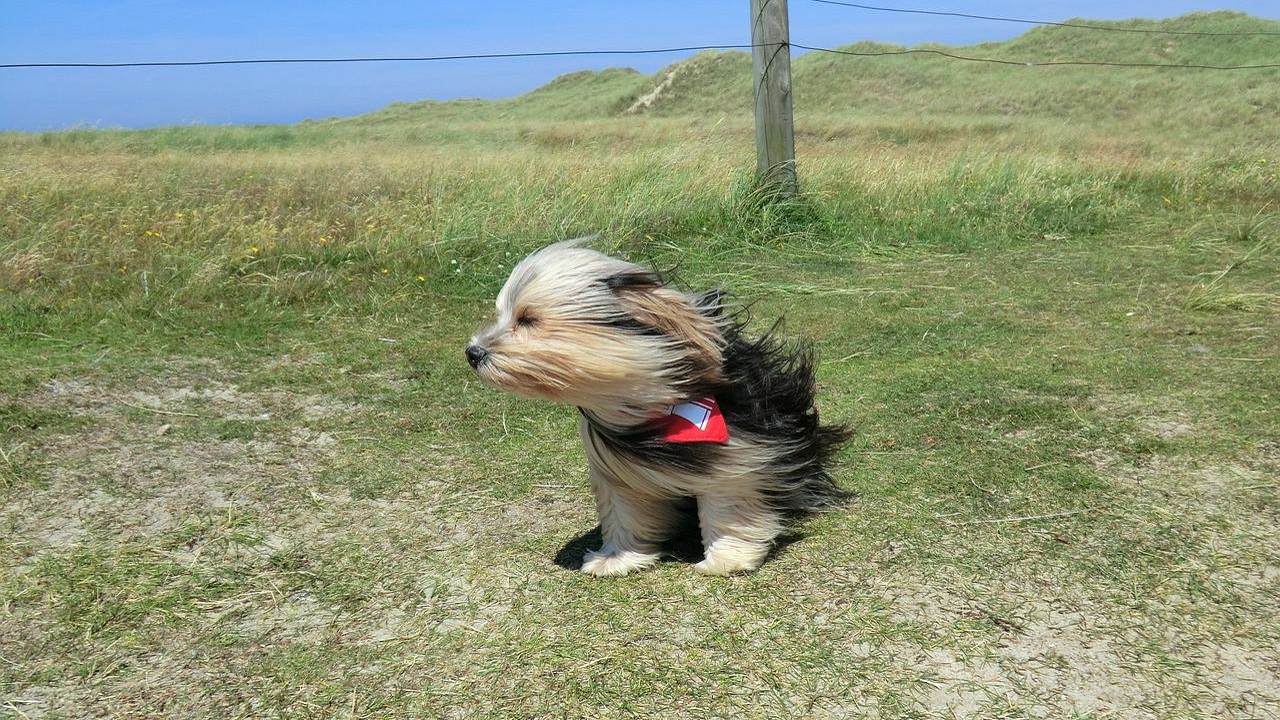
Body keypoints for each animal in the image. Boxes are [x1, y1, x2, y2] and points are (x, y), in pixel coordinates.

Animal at [465, 238, 844, 573]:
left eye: (528, 319)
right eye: (501, 315)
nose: (472, 353)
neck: (649, 401)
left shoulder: (740, 452)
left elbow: (728, 503)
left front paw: (727, 559)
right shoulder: (617, 471)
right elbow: (625, 511)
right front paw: (617, 558)